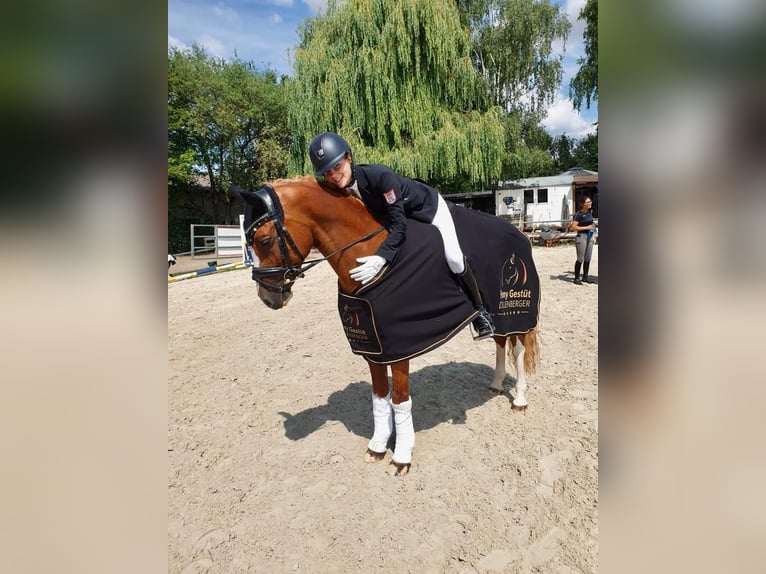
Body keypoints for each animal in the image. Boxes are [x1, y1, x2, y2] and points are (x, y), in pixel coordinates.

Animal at [242, 176, 540, 476]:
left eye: (264, 240)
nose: (267, 297)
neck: (371, 254)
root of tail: (517, 233)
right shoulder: (375, 349)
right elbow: (379, 397)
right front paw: (377, 445)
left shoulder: (400, 349)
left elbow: (399, 400)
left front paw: (402, 454)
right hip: (501, 314)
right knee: (500, 341)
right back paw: (496, 383)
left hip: (517, 313)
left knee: (517, 350)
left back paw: (519, 400)